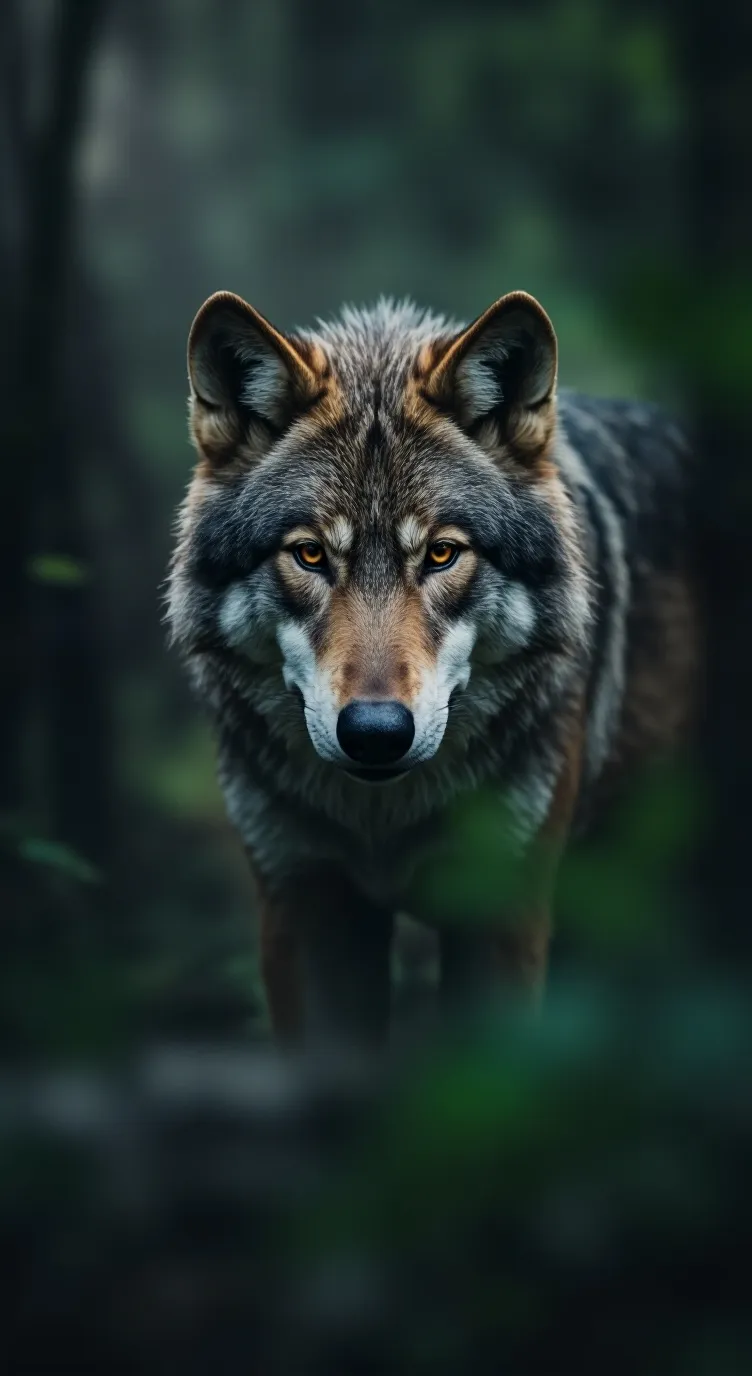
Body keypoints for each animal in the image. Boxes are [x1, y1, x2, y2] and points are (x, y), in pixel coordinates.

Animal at [167, 289, 697, 1046]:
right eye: (310, 555)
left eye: (442, 554)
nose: (376, 733)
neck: (381, 821)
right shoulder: (305, 906)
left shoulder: (501, 913)